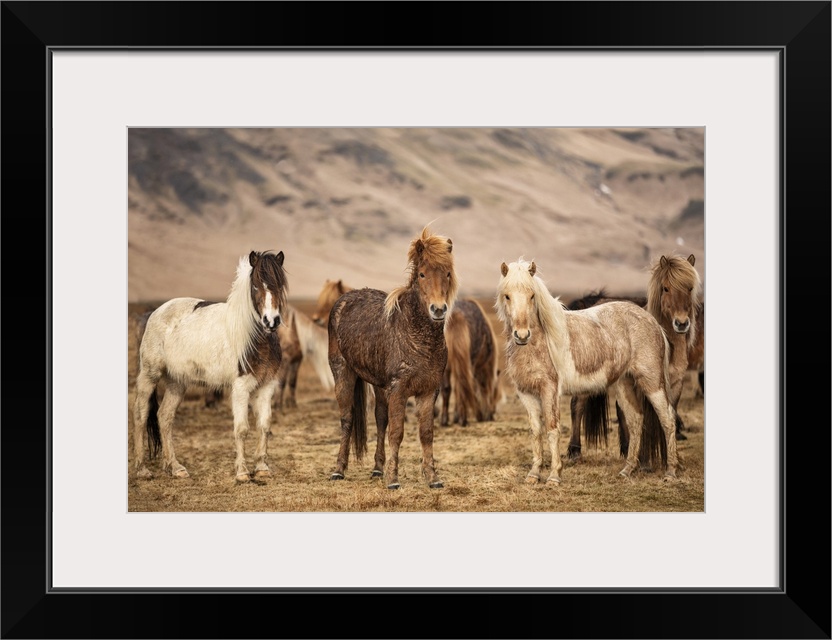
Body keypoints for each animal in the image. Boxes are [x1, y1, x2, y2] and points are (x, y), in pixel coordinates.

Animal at [129, 252, 286, 482]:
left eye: (280, 285)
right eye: (256, 286)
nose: (271, 321)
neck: (253, 338)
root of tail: (155, 313)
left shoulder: (267, 386)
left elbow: (264, 426)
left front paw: (262, 467)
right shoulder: (240, 388)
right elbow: (241, 429)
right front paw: (242, 472)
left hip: (177, 383)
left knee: (164, 417)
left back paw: (175, 467)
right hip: (150, 375)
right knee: (141, 414)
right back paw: (142, 469)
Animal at [326, 226, 458, 490]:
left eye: (447, 274)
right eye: (422, 274)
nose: (438, 310)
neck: (416, 335)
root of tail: (344, 300)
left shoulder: (429, 390)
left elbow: (426, 433)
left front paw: (433, 478)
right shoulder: (399, 389)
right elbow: (397, 432)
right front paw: (393, 480)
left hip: (378, 385)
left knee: (379, 419)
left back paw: (377, 468)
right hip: (343, 373)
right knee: (347, 419)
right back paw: (339, 470)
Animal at [442, 298, 500, 428]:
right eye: (495, 393)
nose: (492, 414)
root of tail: (455, 316)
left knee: (449, 388)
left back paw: (445, 420)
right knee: (462, 386)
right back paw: (463, 420)